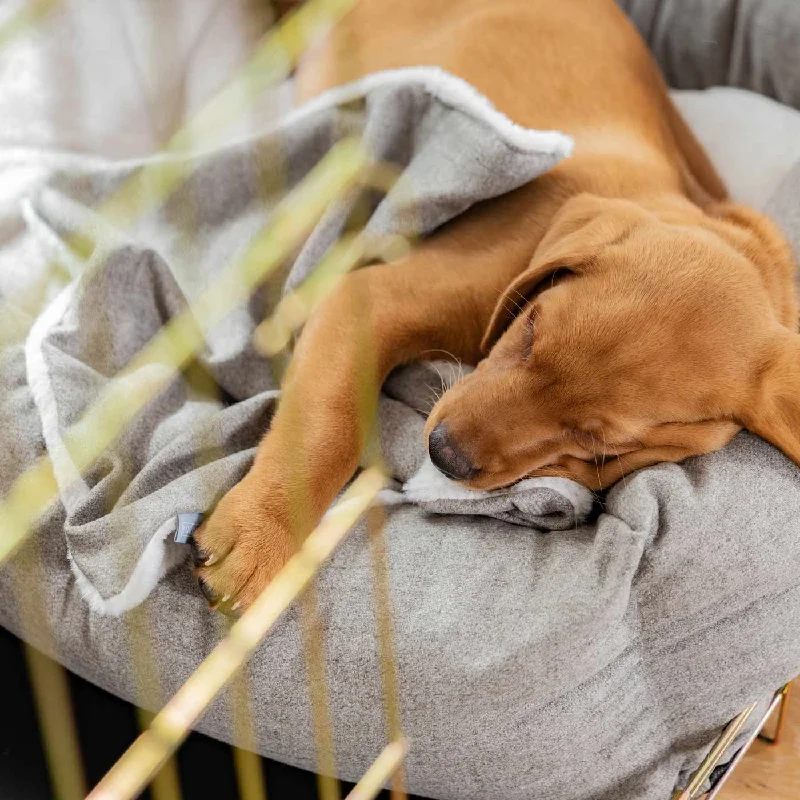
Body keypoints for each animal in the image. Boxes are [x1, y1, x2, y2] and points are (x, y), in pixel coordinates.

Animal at [191, 0, 796, 608]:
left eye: (598, 443)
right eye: (529, 330)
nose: (444, 454)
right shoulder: (371, 297)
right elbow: (328, 423)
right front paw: (263, 530)